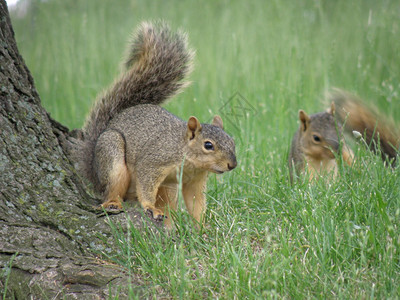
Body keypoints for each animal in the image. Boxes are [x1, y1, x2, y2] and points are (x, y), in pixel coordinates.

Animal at [71, 21, 238, 227]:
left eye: (232, 142)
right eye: (208, 145)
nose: (233, 165)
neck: (189, 159)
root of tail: (94, 172)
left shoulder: (195, 181)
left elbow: (195, 203)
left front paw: (201, 227)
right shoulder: (154, 161)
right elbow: (146, 183)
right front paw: (150, 206)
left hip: (167, 189)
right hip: (112, 156)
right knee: (112, 189)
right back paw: (114, 203)